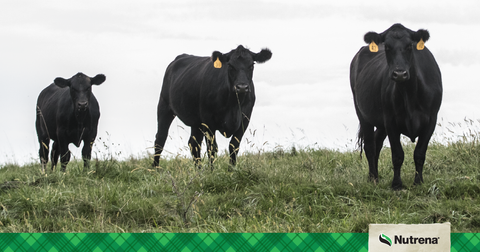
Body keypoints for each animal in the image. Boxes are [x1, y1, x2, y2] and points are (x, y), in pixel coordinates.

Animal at [348, 24, 442, 189]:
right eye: (387, 47)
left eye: (409, 46)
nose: (399, 74)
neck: (410, 94)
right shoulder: (391, 120)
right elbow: (397, 155)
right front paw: (397, 185)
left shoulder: (431, 119)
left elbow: (420, 153)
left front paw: (418, 182)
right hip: (362, 113)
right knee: (370, 145)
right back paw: (373, 178)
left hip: (381, 122)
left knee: (377, 142)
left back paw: (375, 176)